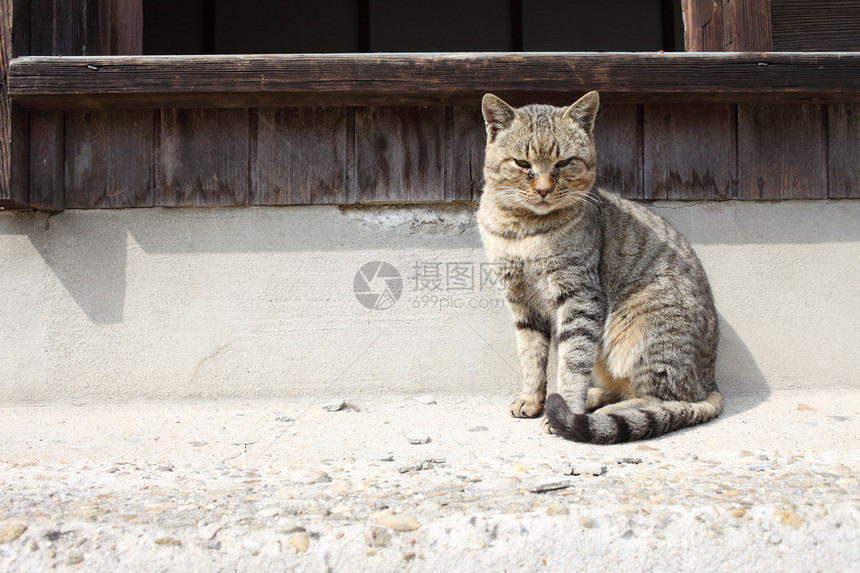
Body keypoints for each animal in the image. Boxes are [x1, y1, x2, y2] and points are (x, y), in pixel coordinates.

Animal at [480, 92, 724, 442]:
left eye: (564, 163)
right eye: (522, 164)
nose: (543, 189)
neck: (523, 230)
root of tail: (710, 381)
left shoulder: (579, 297)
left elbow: (571, 362)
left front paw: (563, 408)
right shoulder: (521, 302)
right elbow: (530, 356)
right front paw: (531, 398)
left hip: (639, 330)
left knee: (665, 400)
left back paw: (588, 412)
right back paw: (588, 399)